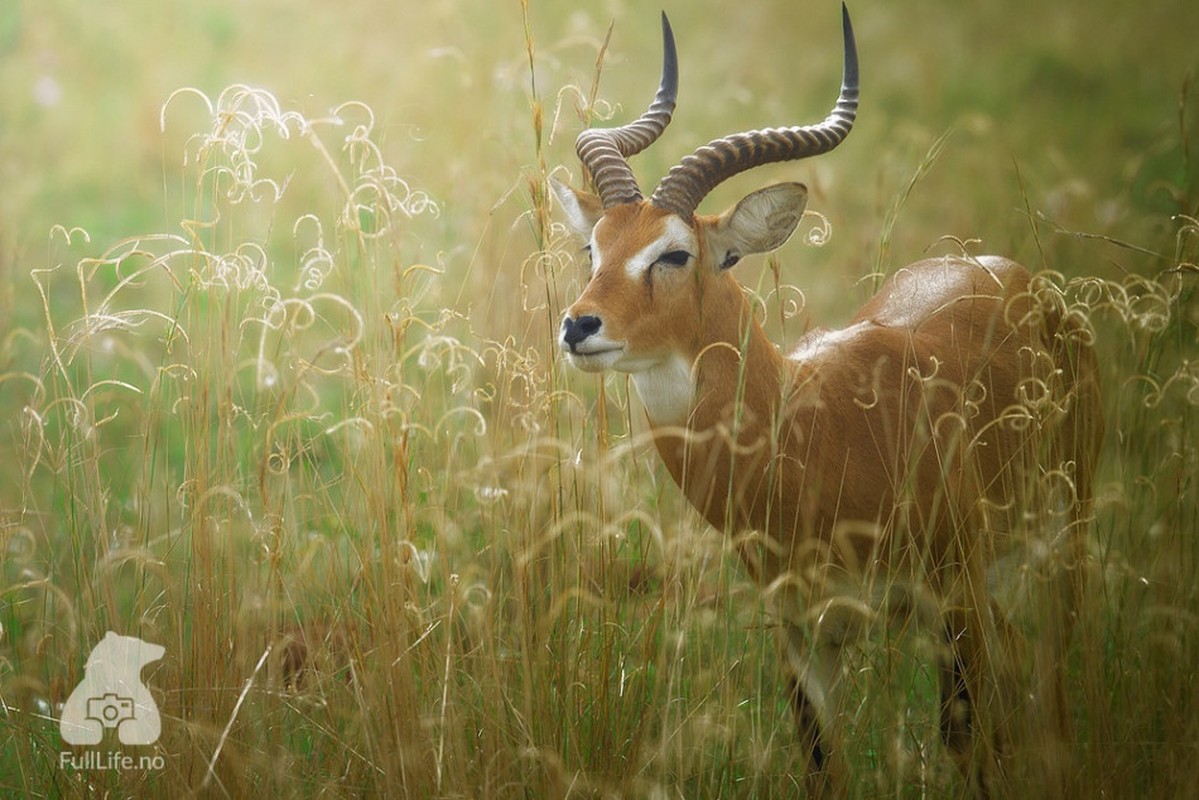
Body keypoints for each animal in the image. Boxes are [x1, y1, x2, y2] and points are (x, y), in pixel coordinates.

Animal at [549, 4, 1098, 796]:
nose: (578, 325)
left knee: (1048, 682)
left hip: (1057, 549)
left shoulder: (952, 597)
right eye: (593, 248)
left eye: (674, 253)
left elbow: (968, 743)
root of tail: (1019, 279)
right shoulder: (804, 630)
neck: (815, 430)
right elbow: (819, 764)